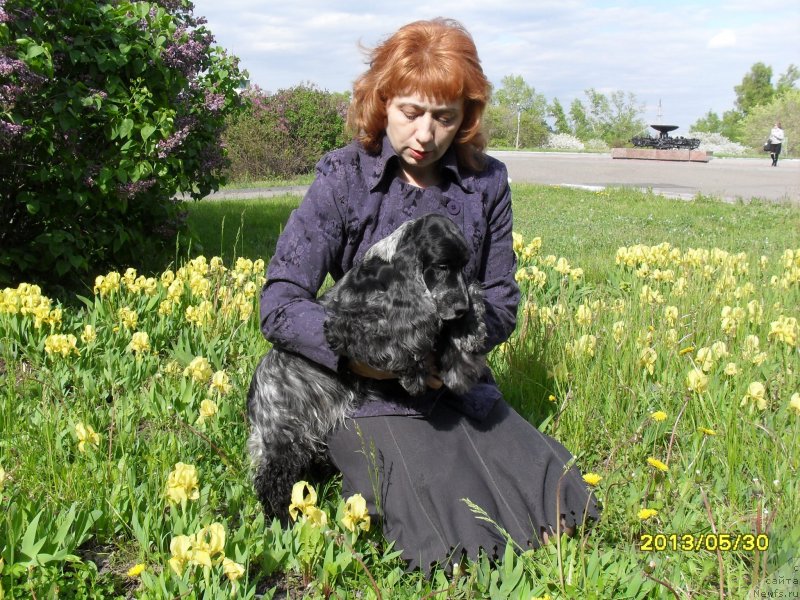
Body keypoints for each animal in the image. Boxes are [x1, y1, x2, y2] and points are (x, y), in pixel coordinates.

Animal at [248, 214, 488, 520]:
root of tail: (255, 393)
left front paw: (461, 360)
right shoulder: (347, 327)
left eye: (463, 266)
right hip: (283, 436)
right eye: (442, 266)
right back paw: (281, 519)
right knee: (272, 480)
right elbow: (398, 342)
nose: (461, 308)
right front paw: (416, 374)